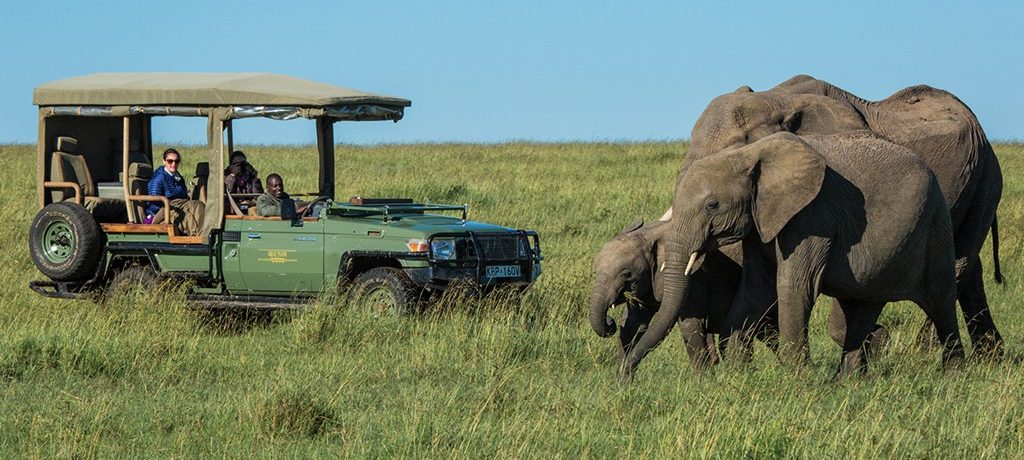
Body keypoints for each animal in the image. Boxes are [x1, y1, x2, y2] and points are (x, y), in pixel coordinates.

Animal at [618, 75, 1003, 374]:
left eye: (738, 145)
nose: (625, 375)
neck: (777, 97)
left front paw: (875, 347)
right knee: (970, 268)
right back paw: (991, 357)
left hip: (985, 177)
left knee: (957, 265)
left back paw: (925, 351)